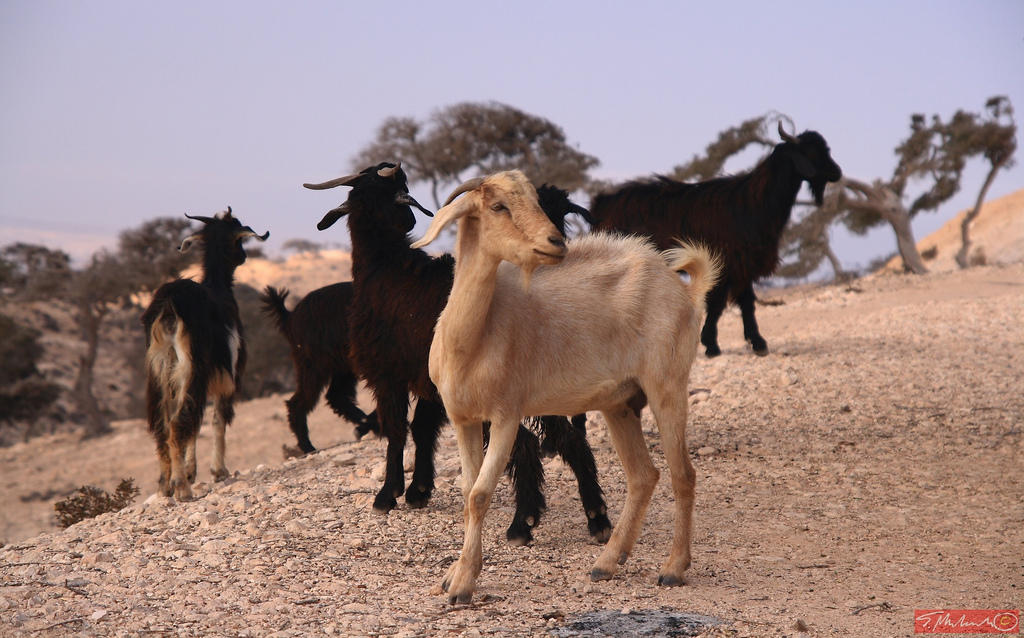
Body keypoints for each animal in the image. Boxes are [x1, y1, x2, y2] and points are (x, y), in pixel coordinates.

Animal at [140, 206, 268, 501]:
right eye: (238, 236)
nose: (243, 256)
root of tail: (169, 305)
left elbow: (197, 425)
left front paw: (190, 471)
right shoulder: (229, 372)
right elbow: (217, 419)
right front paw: (216, 471)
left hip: (159, 369)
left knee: (163, 423)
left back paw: (165, 485)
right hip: (190, 365)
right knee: (180, 422)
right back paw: (182, 488)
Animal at [260, 282, 380, 454]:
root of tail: (290, 316)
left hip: (341, 365)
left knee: (336, 397)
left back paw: (363, 423)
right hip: (314, 366)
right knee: (299, 403)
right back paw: (308, 447)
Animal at [409, 169, 720, 602]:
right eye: (498, 206)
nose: (555, 242)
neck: (474, 337)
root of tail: (682, 289)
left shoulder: (506, 414)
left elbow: (480, 494)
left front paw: (463, 585)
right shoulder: (463, 419)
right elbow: (469, 491)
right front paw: (454, 573)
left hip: (667, 385)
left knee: (683, 474)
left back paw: (673, 568)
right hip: (620, 403)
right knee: (643, 475)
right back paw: (606, 563)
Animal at [593, 122, 839, 356]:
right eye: (812, 152)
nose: (837, 172)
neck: (754, 202)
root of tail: (602, 204)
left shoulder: (742, 264)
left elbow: (746, 302)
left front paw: (757, 343)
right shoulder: (727, 261)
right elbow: (719, 304)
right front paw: (712, 345)